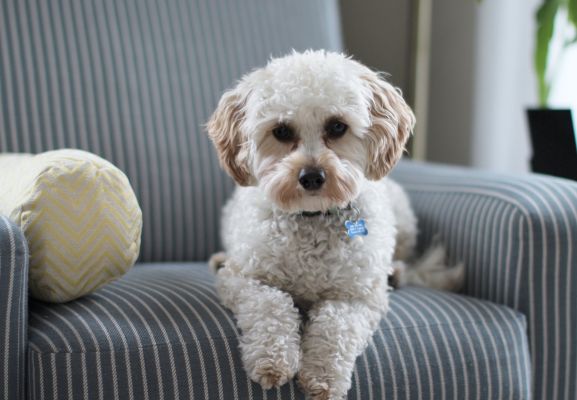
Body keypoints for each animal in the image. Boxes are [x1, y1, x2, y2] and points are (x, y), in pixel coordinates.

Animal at [205, 50, 462, 400]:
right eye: (281, 131)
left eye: (337, 126)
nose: (312, 176)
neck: (312, 218)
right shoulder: (245, 279)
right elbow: (271, 305)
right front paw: (273, 359)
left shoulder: (357, 296)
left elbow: (335, 326)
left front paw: (322, 376)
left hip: (404, 220)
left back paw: (395, 272)